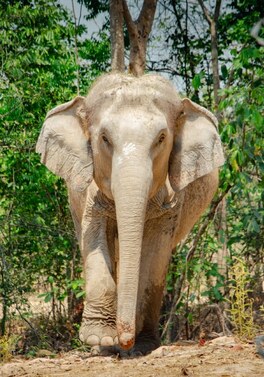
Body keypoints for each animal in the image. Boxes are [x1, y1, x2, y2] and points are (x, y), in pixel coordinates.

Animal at [35, 72, 225, 354]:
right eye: (104, 138)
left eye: (161, 138)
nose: (124, 339)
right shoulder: (91, 192)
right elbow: (94, 234)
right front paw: (99, 338)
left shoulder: (171, 200)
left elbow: (154, 255)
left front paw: (141, 345)